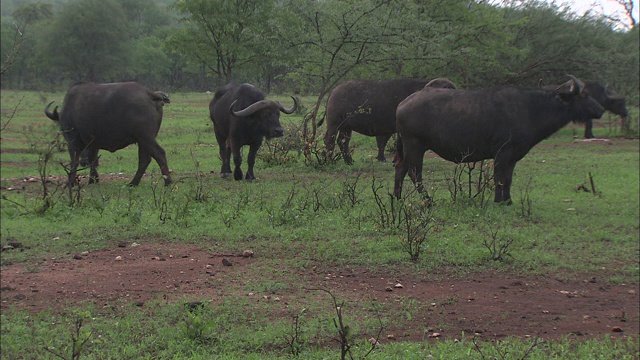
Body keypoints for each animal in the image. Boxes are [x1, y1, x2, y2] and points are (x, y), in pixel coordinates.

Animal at [44, 82, 172, 187]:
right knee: (145, 159)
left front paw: (70, 182)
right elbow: (93, 159)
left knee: (159, 153)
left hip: (145, 137)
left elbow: (74, 160)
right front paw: (93, 179)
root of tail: (148, 93)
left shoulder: (73, 140)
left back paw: (167, 181)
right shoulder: (93, 143)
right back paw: (133, 183)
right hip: (143, 140)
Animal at [322, 79, 458, 165]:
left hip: (346, 126)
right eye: (446, 87)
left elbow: (383, 142)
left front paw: (382, 158)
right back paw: (329, 160)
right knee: (329, 140)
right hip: (334, 123)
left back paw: (349, 161)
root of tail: (334, 92)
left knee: (343, 141)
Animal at [396, 75, 604, 205]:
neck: (530, 109)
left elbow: (508, 179)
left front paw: (508, 201)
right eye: (584, 95)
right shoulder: (502, 152)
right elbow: (499, 178)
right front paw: (498, 200)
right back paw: (427, 200)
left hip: (409, 147)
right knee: (414, 173)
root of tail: (402, 104)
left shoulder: (513, 157)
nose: (601, 110)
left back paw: (397, 198)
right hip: (415, 145)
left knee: (400, 168)